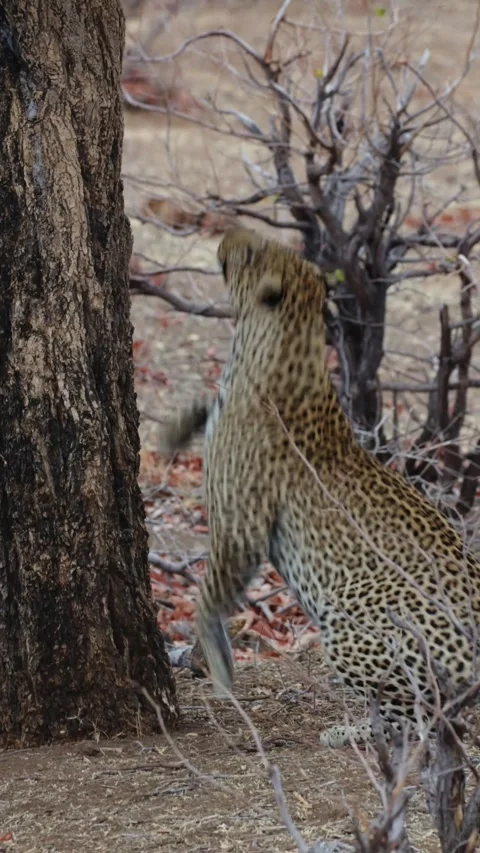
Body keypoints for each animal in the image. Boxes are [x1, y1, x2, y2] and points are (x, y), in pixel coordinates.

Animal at [165, 226, 480, 748]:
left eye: (252, 250)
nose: (228, 231)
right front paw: (174, 427)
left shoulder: (240, 524)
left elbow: (209, 594)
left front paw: (217, 663)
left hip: (349, 612)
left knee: (422, 721)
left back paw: (349, 731)